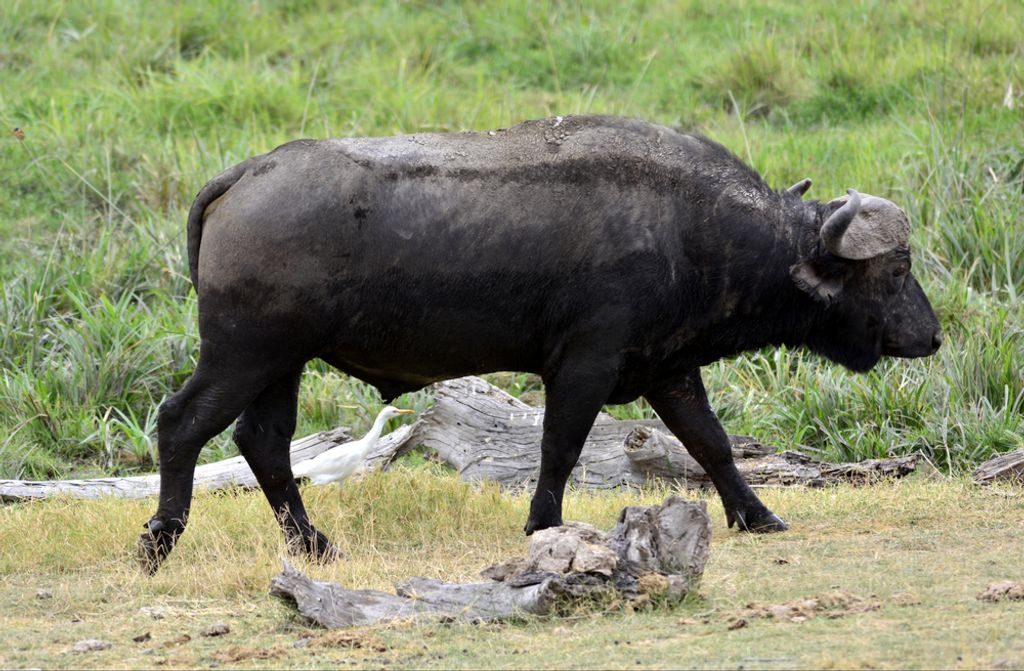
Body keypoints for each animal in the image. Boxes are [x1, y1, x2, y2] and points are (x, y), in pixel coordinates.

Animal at [139, 116, 941, 573]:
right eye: (895, 269)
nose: (931, 335)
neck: (687, 224)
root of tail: (247, 175)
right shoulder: (585, 364)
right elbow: (560, 446)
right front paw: (544, 526)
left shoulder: (670, 368)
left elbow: (711, 444)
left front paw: (757, 514)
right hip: (243, 353)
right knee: (181, 424)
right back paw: (159, 541)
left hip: (281, 364)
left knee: (264, 443)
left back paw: (314, 545)